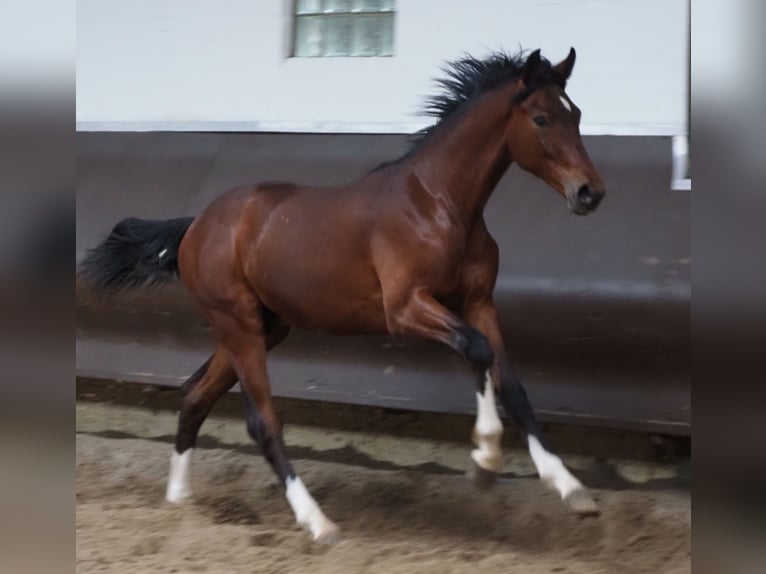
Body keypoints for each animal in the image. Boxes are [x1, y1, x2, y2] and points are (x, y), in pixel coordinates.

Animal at [79, 48, 608, 544]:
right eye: (541, 118)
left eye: (577, 113)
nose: (590, 193)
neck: (439, 204)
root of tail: (195, 227)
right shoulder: (405, 308)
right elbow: (477, 351)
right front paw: (485, 458)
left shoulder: (478, 302)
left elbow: (513, 385)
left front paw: (571, 488)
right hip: (239, 326)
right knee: (262, 422)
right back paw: (318, 523)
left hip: (263, 327)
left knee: (193, 396)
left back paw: (178, 500)